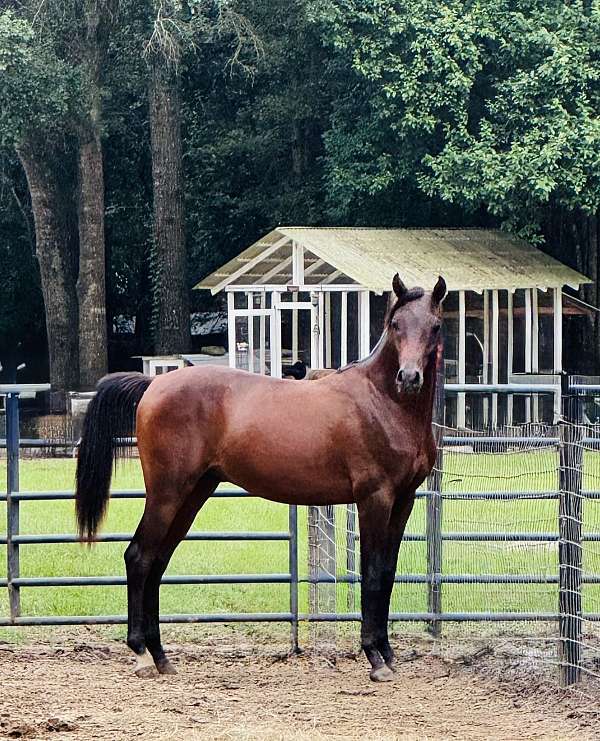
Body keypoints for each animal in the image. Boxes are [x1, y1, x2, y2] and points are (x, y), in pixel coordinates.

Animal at [75, 273, 446, 682]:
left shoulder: (404, 499)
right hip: (167, 493)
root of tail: (153, 385)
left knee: (157, 561)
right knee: (139, 557)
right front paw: (375, 658)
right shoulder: (374, 499)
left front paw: (388, 653)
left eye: (435, 326)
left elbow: (389, 571)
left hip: (192, 494)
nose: (409, 378)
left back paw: (160, 655)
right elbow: (373, 572)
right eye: (395, 325)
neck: (383, 403)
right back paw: (141, 652)